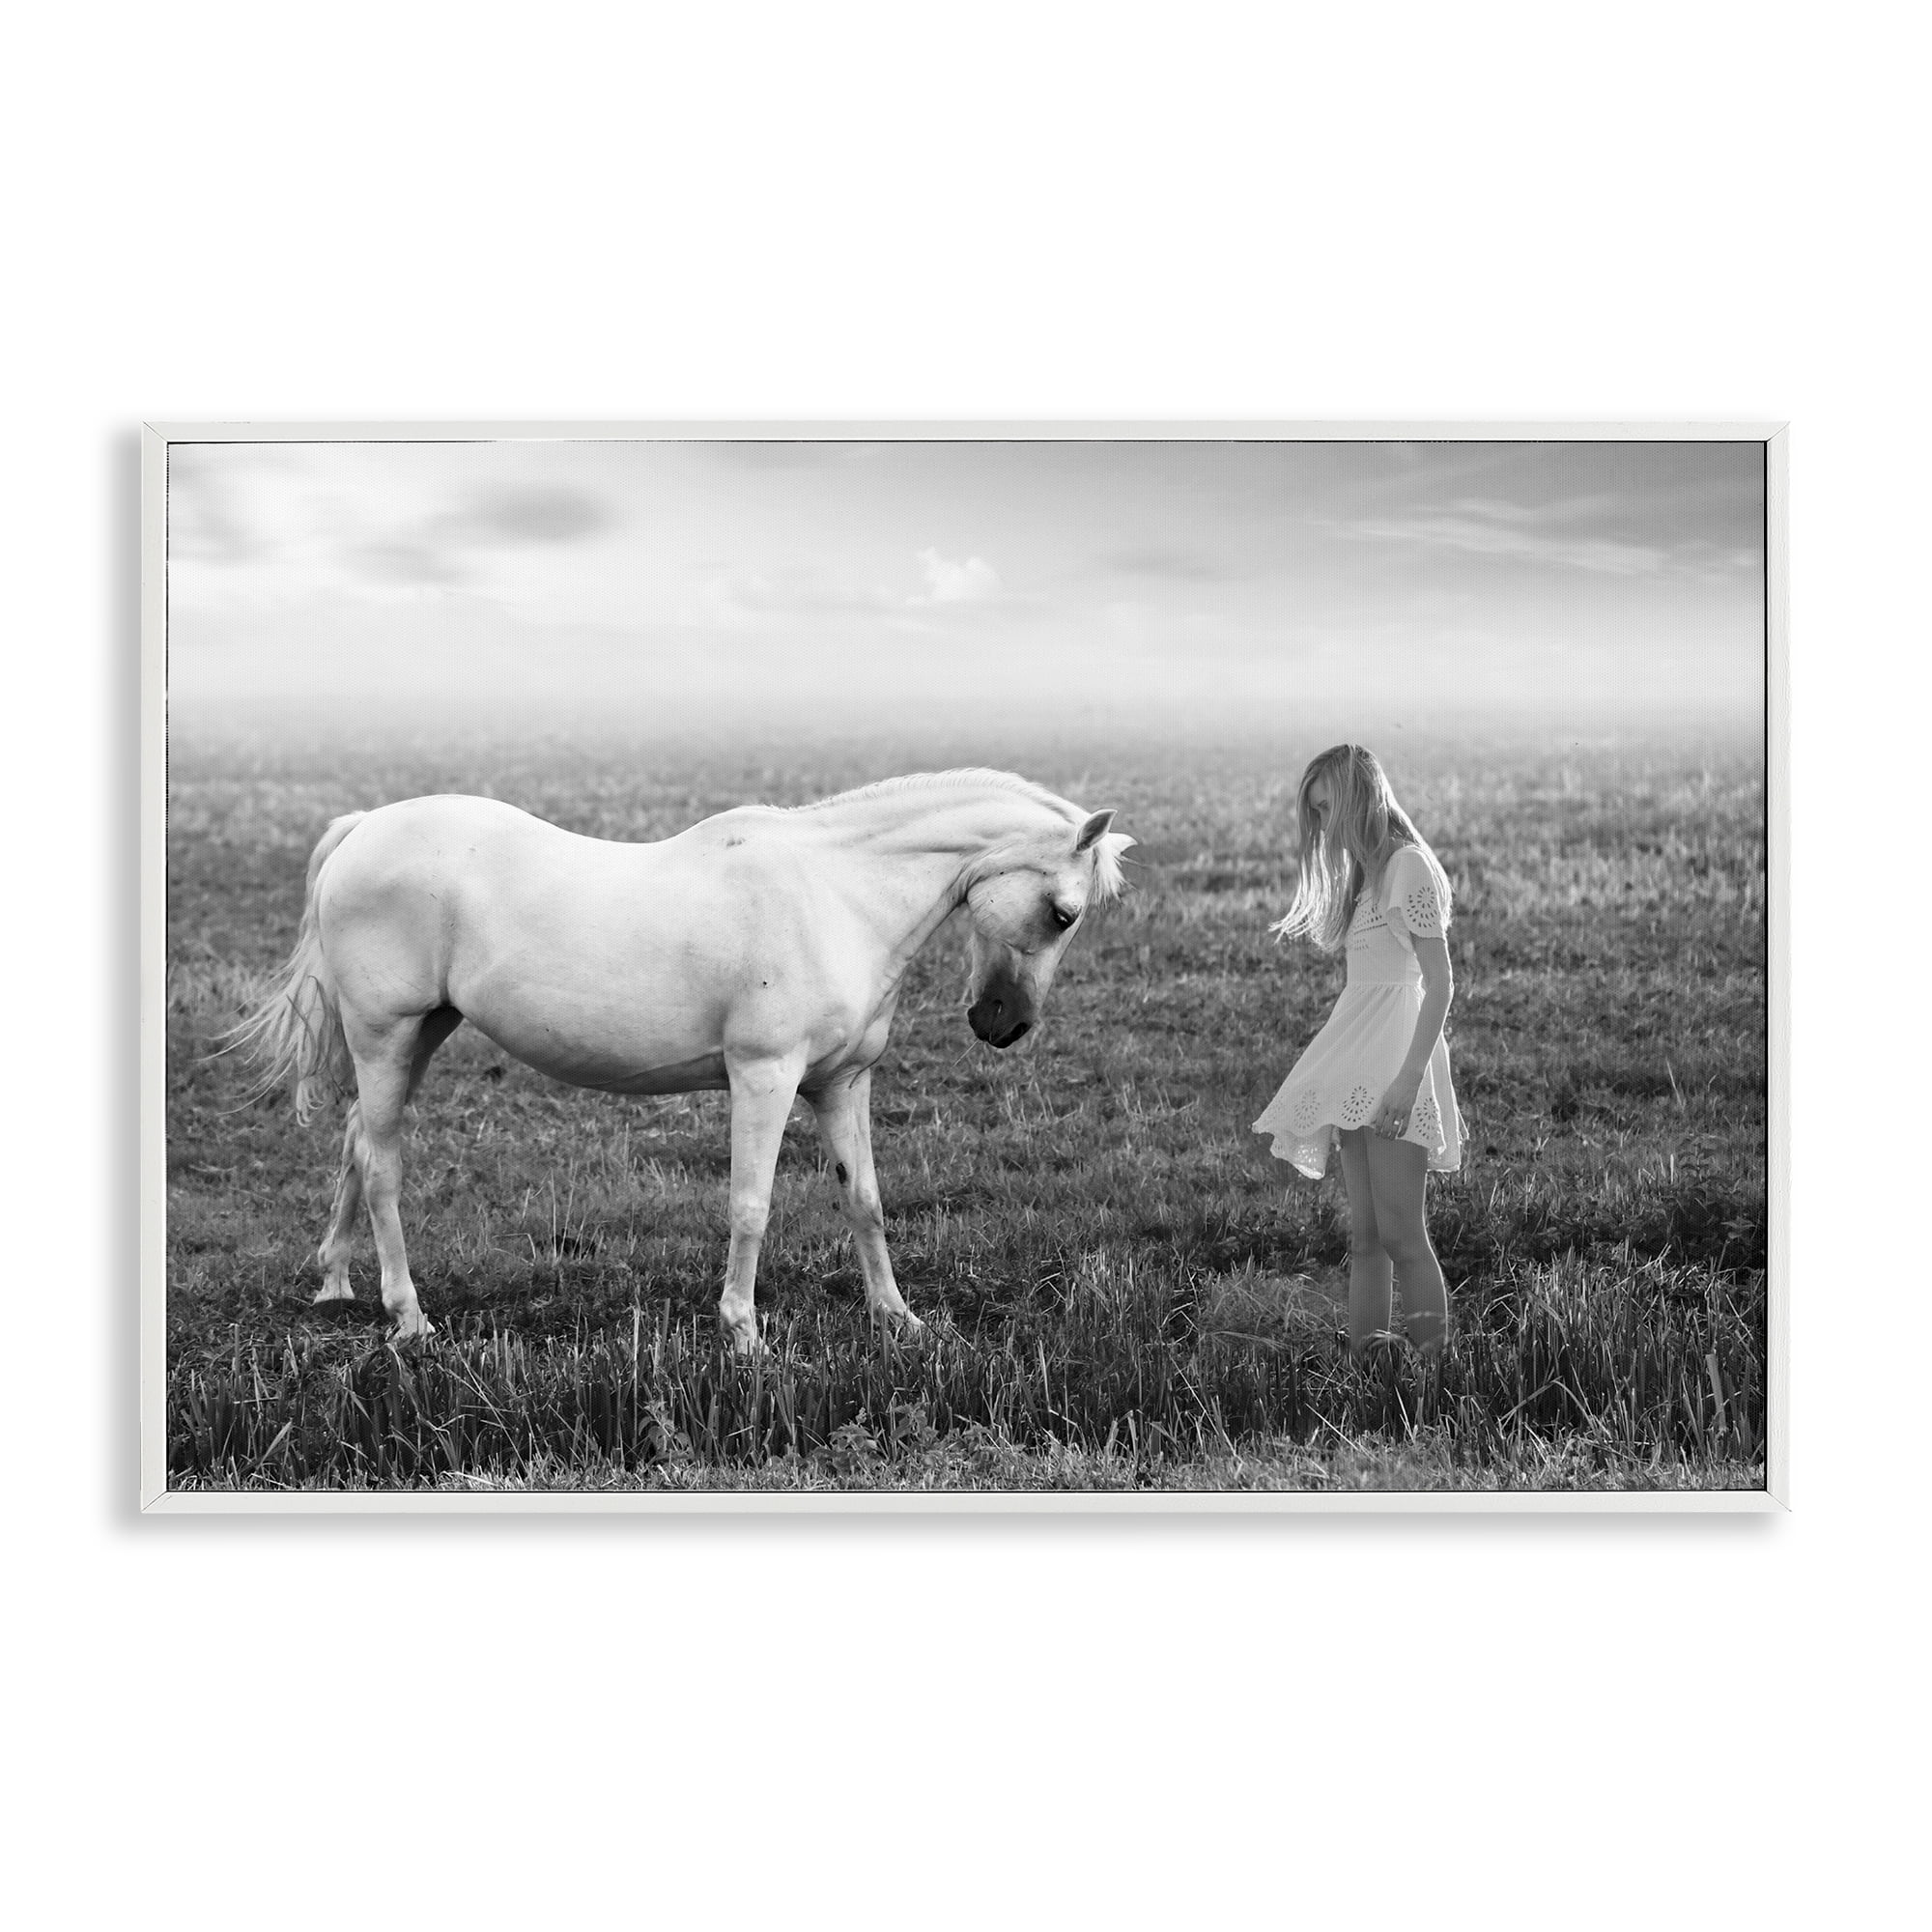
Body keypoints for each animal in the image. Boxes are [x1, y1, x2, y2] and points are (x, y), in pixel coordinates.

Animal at [228, 769, 1133, 1352]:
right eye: (1062, 913)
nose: (1004, 1025)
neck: (836, 894)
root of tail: (363, 828)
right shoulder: (764, 1077)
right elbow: (751, 1207)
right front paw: (744, 1333)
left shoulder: (841, 1084)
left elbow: (866, 1201)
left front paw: (898, 1319)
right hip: (385, 1035)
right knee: (382, 1165)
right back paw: (408, 1316)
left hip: (421, 1034)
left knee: (357, 1140)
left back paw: (336, 1285)